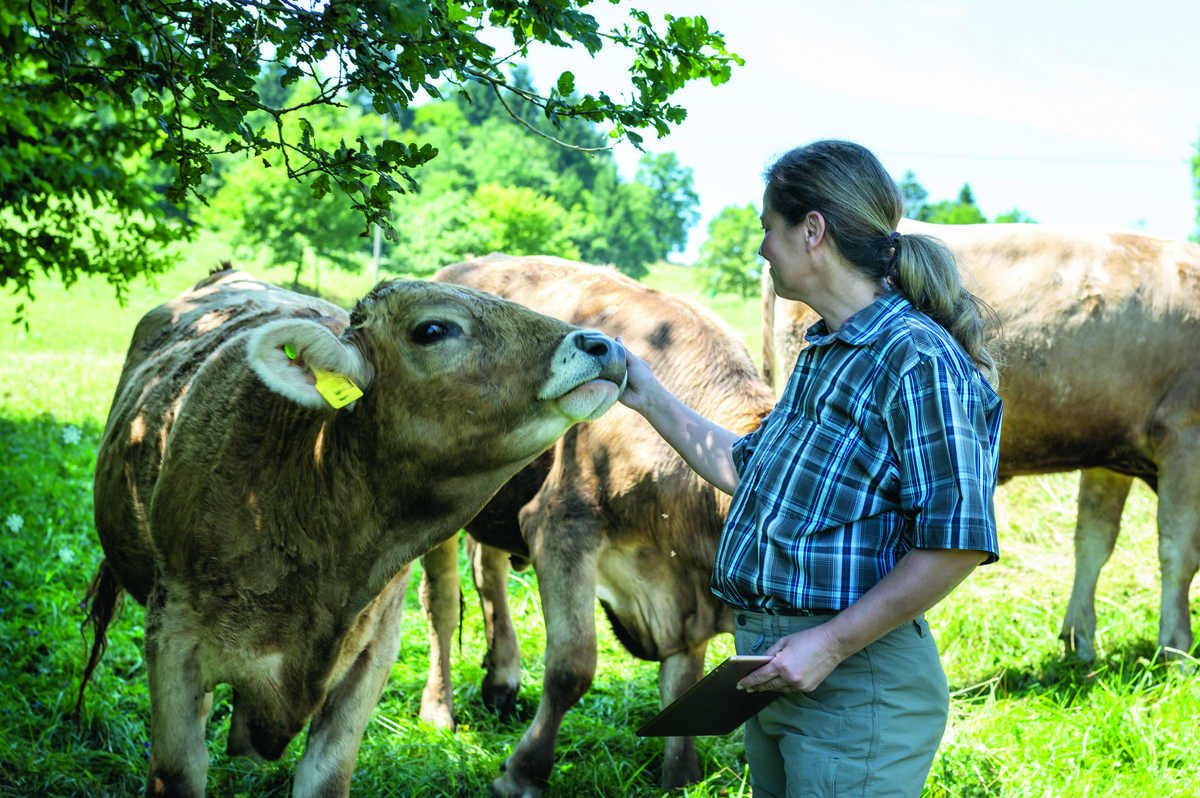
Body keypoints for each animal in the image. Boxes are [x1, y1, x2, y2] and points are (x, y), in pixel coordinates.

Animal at [78, 268, 627, 798]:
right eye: (433, 329)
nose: (605, 345)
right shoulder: (172, 641)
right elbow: (175, 774)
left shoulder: (372, 653)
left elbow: (327, 779)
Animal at [417, 255, 777, 797]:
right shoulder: (560, 524)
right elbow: (572, 666)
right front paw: (522, 773)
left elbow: (682, 680)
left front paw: (681, 777)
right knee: (441, 601)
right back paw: (439, 711)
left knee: (488, 573)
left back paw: (501, 682)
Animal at [763, 220, 1200, 664]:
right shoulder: (1184, 432)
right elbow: (1178, 550)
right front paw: (1177, 651)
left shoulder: (1109, 455)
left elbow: (1093, 541)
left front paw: (1080, 643)